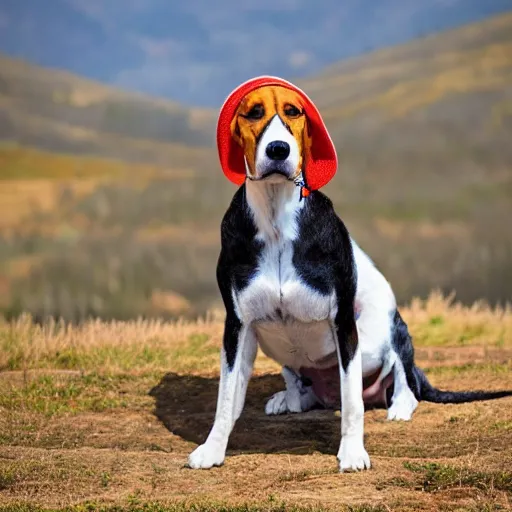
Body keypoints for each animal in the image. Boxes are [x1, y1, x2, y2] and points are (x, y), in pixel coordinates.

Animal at [188, 76, 512, 472]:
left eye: (293, 111)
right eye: (254, 113)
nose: (278, 150)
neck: (277, 216)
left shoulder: (342, 321)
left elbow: (354, 404)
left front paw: (353, 452)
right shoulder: (237, 325)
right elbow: (225, 398)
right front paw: (212, 448)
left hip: (394, 330)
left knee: (401, 379)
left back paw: (399, 406)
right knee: (303, 386)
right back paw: (290, 399)